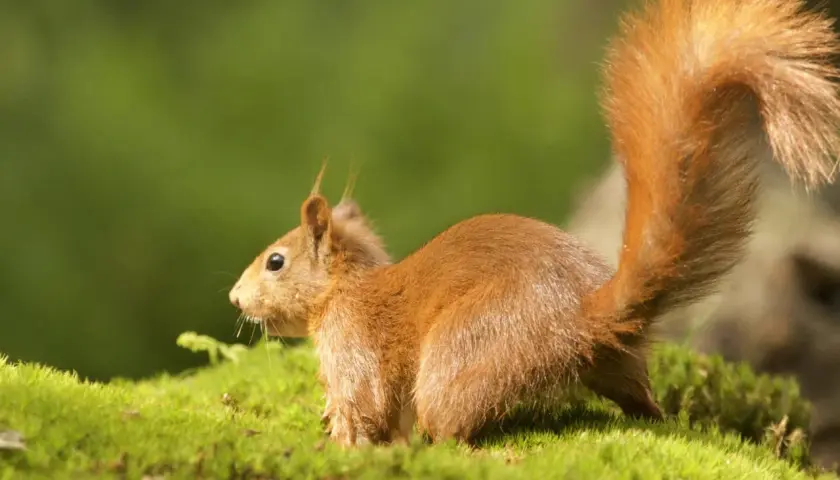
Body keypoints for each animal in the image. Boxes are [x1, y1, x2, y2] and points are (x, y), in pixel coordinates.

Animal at [229, 0, 840, 447]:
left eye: (275, 261)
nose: (234, 298)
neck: (345, 289)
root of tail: (581, 316)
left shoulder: (353, 345)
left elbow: (362, 406)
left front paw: (340, 443)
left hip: (464, 353)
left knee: (451, 423)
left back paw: (438, 442)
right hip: (614, 364)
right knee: (640, 399)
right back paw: (653, 417)